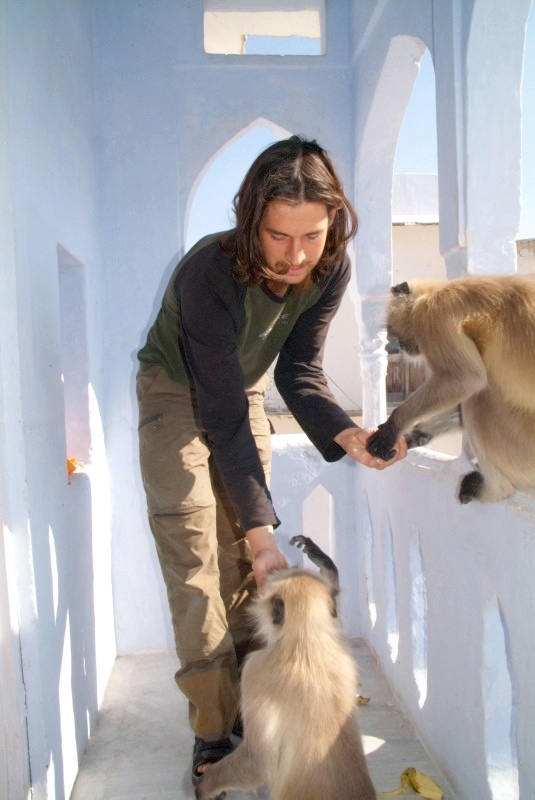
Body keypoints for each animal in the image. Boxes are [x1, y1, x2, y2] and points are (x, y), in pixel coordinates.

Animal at [196, 536, 376, 800]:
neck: (304, 641)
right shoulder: (336, 641)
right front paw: (323, 561)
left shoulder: (254, 670)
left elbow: (258, 763)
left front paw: (205, 785)